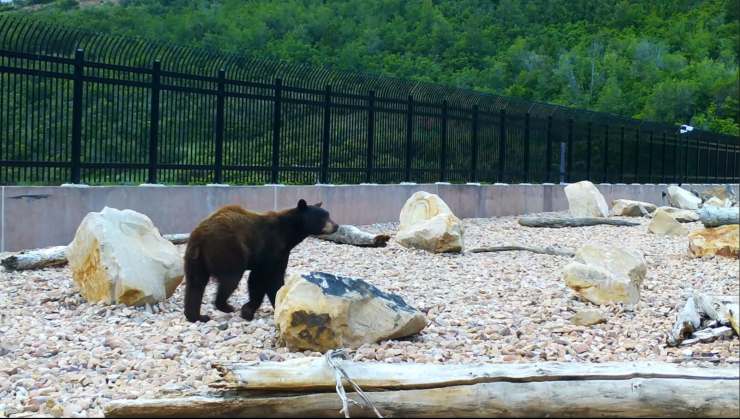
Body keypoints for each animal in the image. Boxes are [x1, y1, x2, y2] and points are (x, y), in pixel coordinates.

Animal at [182, 199, 338, 324]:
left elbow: (259, 279)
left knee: (195, 284)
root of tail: (200, 236)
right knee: (230, 277)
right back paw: (225, 306)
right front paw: (254, 308)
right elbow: (268, 278)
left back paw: (197, 316)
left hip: (195, 259)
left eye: (328, 214)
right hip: (227, 249)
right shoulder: (272, 248)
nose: (336, 226)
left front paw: (250, 309)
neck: (288, 233)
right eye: (323, 217)